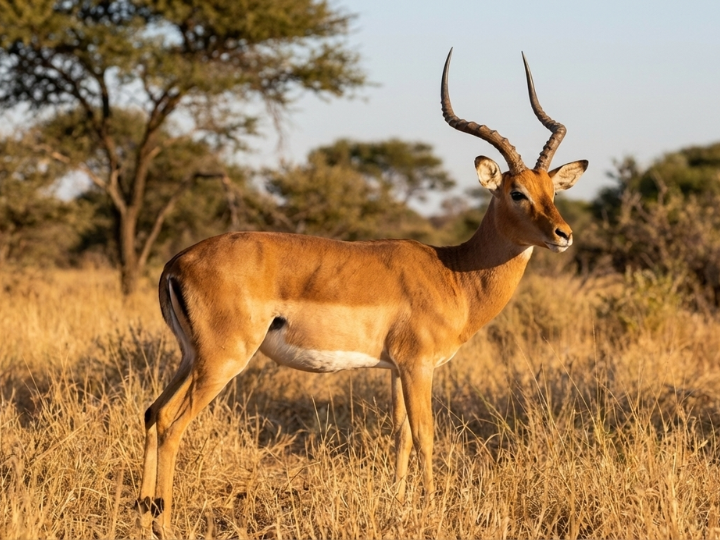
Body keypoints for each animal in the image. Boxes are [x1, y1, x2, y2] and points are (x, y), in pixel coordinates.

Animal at [138, 49, 588, 536]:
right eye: (517, 192)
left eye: (551, 190)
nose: (564, 234)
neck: (453, 273)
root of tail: (175, 263)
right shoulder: (418, 366)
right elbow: (425, 435)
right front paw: (431, 508)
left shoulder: (395, 368)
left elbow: (401, 435)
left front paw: (400, 504)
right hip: (222, 360)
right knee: (172, 424)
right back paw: (164, 523)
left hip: (190, 357)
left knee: (152, 413)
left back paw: (143, 512)